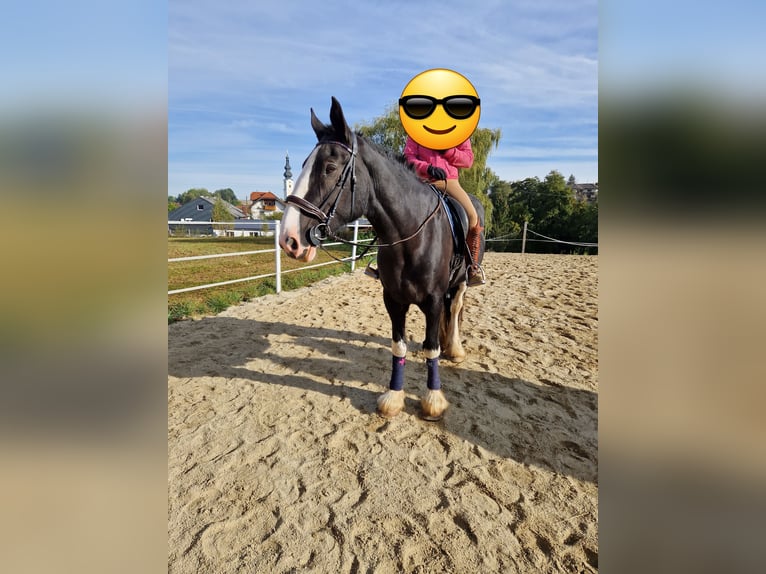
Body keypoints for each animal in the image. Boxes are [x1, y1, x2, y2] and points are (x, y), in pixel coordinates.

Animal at [280, 98, 486, 424]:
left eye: (329, 168)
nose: (289, 239)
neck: (411, 235)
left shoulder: (433, 300)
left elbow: (431, 349)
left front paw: (433, 401)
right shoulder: (393, 299)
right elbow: (398, 346)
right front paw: (393, 398)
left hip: (463, 280)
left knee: (455, 309)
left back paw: (454, 348)